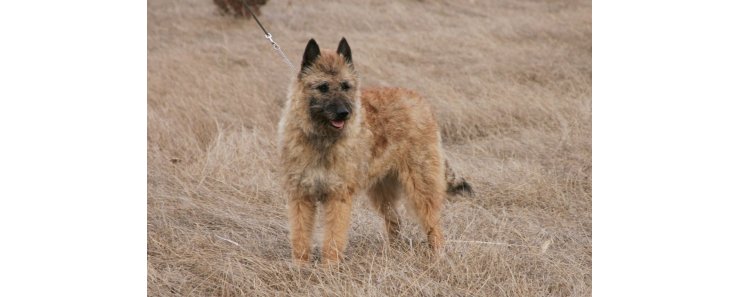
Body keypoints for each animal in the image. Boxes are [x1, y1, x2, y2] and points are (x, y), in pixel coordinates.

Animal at [274, 37, 472, 264]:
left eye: (346, 86)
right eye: (323, 87)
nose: (344, 113)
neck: (321, 139)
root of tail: (421, 102)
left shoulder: (337, 197)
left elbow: (333, 236)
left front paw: (329, 266)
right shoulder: (301, 197)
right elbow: (300, 235)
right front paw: (300, 265)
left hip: (421, 186)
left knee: (433, 223)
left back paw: (437, 254)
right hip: (382, 190)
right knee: (395, 221)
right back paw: (392, 251)